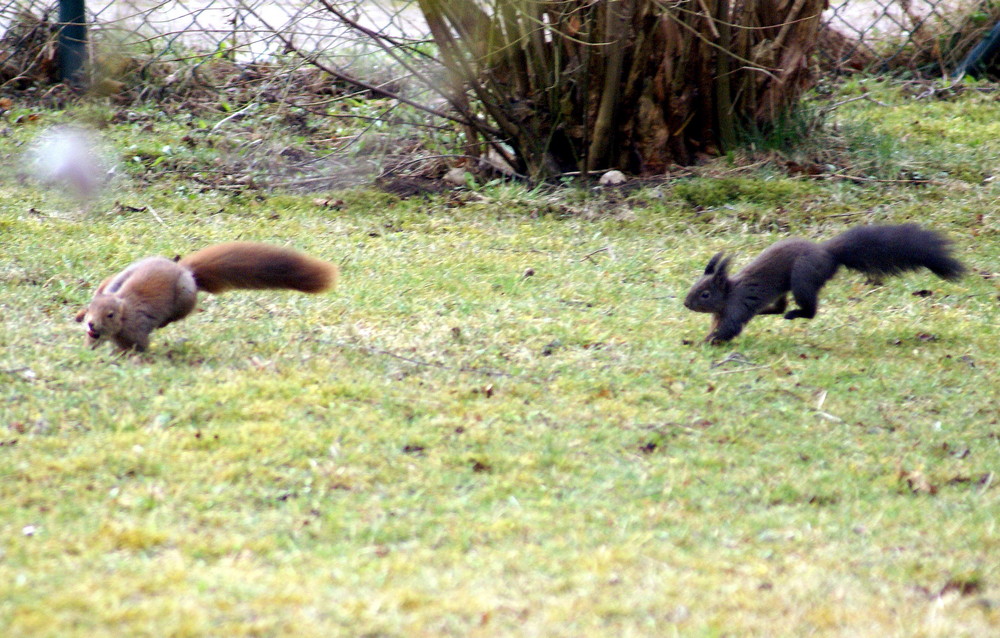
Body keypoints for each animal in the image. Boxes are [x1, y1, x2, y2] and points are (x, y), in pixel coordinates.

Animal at [74, 242, 338, 352]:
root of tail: (184, 270)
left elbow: (139, 347)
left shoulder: (136, 330)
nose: (91, 323)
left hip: (184, 299)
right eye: (91, 308)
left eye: (110, 315)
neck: (125, 312)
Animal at [684, 225, 964, 344]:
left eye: (705, 294)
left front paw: (703, 343)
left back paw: (795, 313)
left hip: (803, 278)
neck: (728, 293)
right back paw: (770, 311)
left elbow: (729, 329)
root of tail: (828, 254)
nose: (686, 304)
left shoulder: (737, 305)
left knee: (810, 310)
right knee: (779, 305)